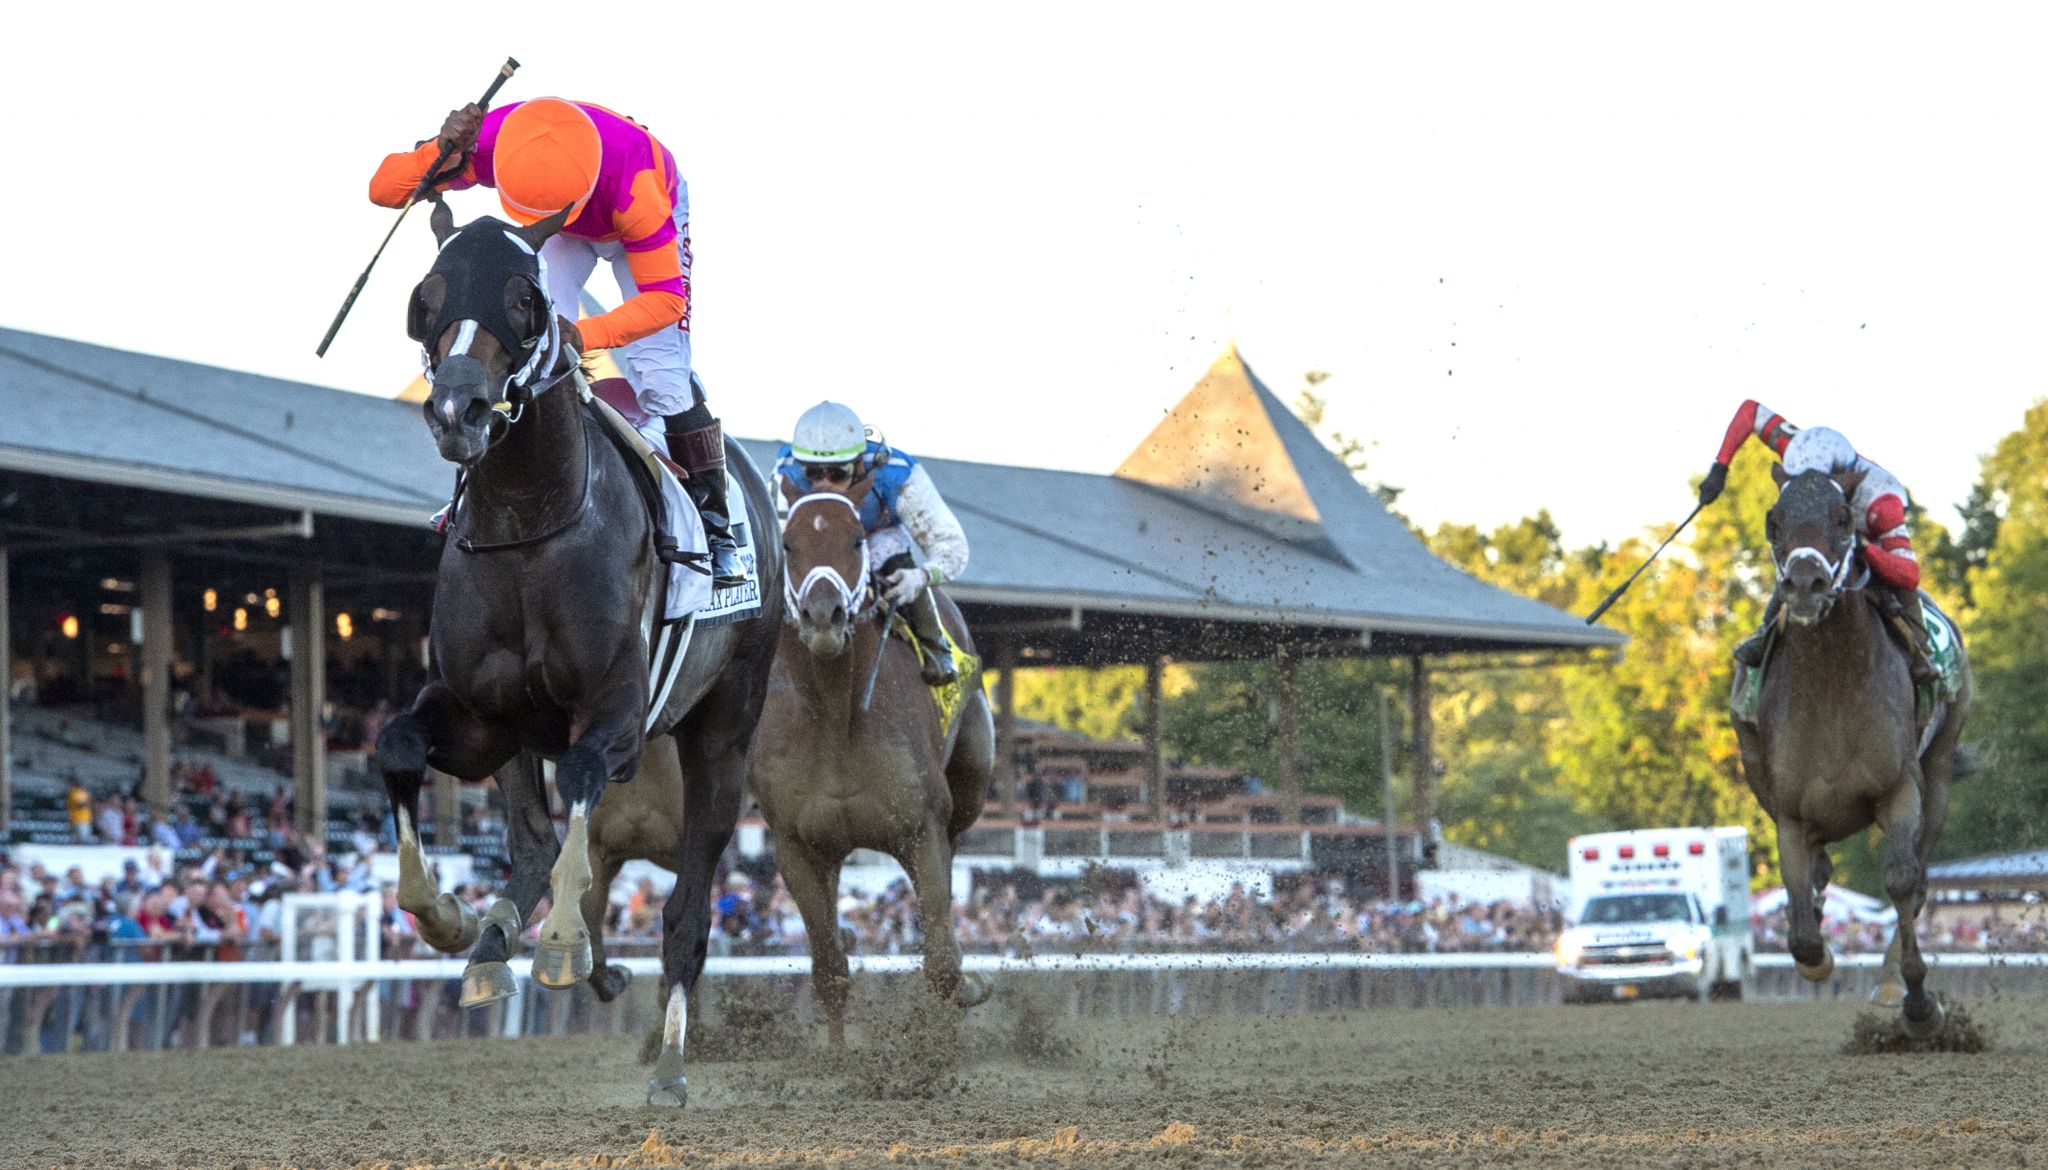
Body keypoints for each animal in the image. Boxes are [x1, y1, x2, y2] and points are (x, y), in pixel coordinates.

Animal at [376, 203, 782, 1106]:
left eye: (525, 300)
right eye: (427, 297)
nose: (457, 411)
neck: (529, 523)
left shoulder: (619, 714)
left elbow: (586, 781)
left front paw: (563, 941)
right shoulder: (480, 717)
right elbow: (397, 747)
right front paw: (444, 913)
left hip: (726, 729)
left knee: (687, 911)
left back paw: (668, 1061)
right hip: (525, 733)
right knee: (530, 837)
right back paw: (492, 944)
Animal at [749, 481, 995, 1049]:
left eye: (857, 540)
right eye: (789, 543)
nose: (823, 617)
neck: (836, 715)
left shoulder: (920, 830)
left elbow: (943, 963)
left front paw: (959, 1003)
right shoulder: (797, 846)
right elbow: (829, 968)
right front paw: (840, 1056)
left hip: (969, 783)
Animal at [1736, 463, 1974, 1040]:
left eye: (1843, 518)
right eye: (1774, 520)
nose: (1804, 585)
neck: (1831, 681)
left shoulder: (1898, 789)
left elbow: (1902, 879)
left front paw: (1917, 1003)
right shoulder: (1790, 814)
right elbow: (1800, 924)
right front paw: (1816, 958)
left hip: (1939, 768)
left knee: (1921, 875)